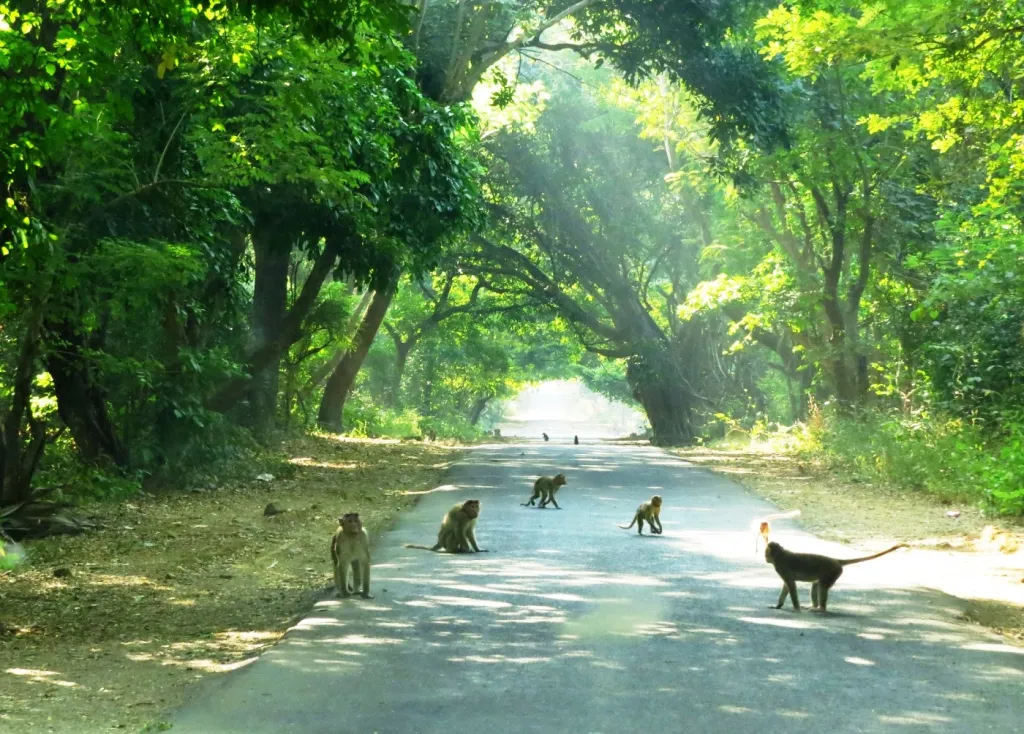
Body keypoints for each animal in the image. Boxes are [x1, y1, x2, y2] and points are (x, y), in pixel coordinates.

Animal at [765, 536, 909, 614]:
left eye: (766, 553)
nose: (765, 558)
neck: (780, 554)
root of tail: (836, 560)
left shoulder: (781, 567)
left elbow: (791, 585)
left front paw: (796, 608)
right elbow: (787, 586)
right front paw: (778, 605)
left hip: (833, 572)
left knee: (822, 586)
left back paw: (821, 609)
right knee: (816, 585)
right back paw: (815, 606)